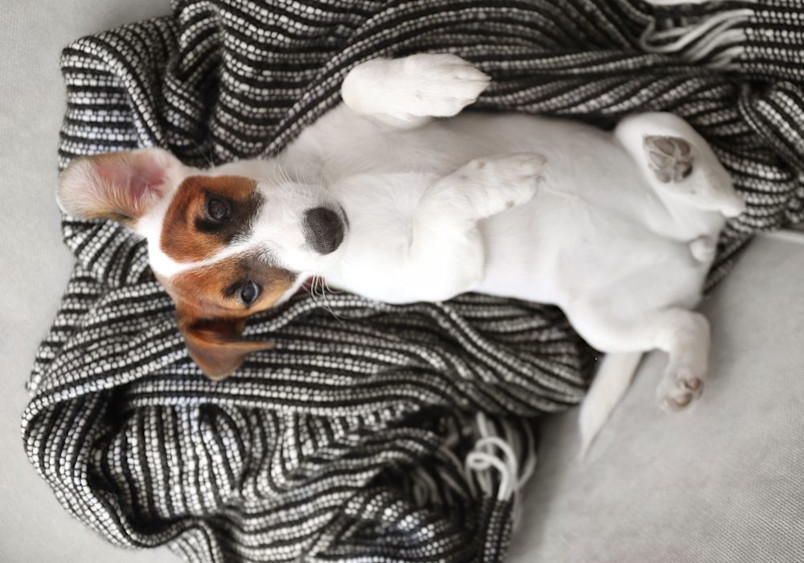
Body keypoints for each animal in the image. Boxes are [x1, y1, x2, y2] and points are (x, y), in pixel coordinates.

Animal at [58, 53, 748, 450]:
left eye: (215, 211)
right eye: (248, 292)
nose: (326, 233)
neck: (340, 189)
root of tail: (690, 256)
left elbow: (358, 84)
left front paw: (432, 81)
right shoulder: (442, 271)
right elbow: (446, 202)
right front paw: (492, 181)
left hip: (645, 125)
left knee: (723, 197)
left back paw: (681, 169)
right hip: (601, 321)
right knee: (687, 318)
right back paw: (684, 373)